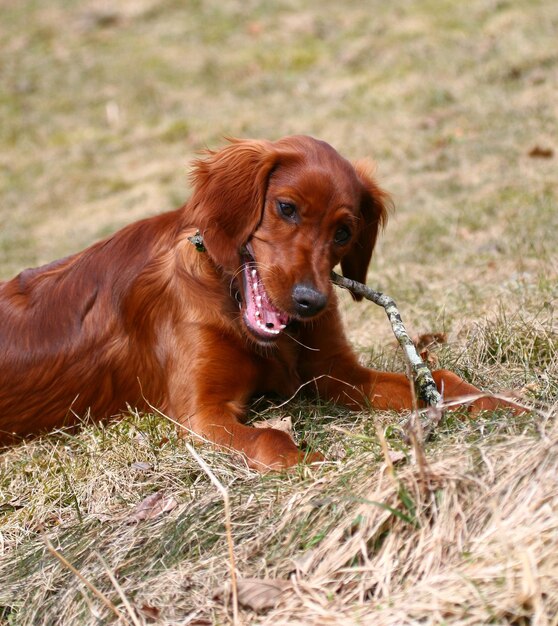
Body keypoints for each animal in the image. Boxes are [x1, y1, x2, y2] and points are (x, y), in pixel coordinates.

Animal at [1, 136, 524, 468]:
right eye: (286, 208)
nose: (310, 302)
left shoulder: (335, 374)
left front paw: (493, 401)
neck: (229, 299)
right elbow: (270, 435)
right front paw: (305, 460)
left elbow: (436, 377)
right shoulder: (201, 414)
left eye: (344, 232)